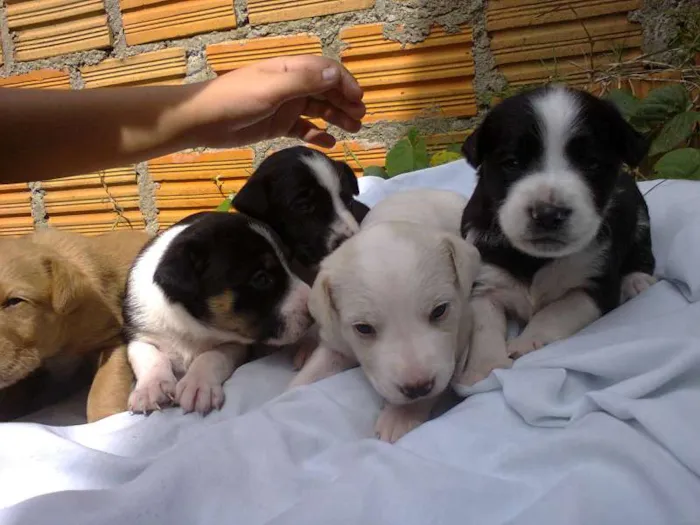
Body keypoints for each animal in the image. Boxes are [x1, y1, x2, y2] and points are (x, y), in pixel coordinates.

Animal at [123, 211, 312, 416]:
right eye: (261, 278)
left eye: (290, 263)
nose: (312, 311)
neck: (190, 326)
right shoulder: (138, 335)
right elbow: (148, 356)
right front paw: (151, 387)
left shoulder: (236, 344)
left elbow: (212, 355)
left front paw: (198, 384)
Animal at [288, 188, 478, 442]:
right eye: (363, 328)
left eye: (439, 311)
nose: (417, 387)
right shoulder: (337, 341)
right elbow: (313, 372)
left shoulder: (461, 333)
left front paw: (401, 415)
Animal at [460, 85, 656, 384]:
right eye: (512, 163)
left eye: (591, 164)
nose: (548, 213)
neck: (535, 259)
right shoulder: (485, 282)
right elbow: (484, 328)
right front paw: (484, 369)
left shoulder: (595, 286)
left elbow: (554, 312)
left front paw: (524, 342)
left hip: (640, 215)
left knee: (643, 250)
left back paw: (636, 280)